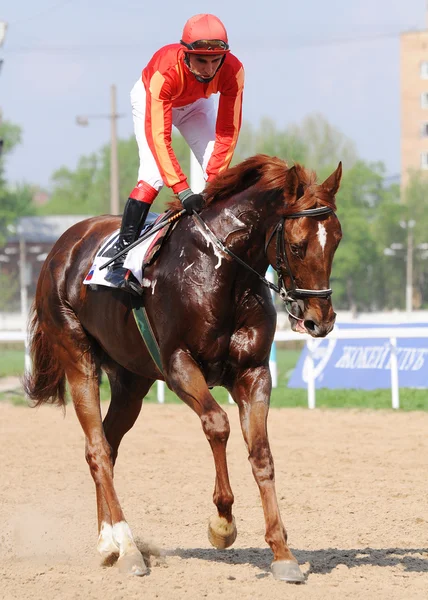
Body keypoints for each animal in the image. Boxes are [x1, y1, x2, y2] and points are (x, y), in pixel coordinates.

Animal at [25, 154, 342, 580]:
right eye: (297, 244)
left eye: (336, 240)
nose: (319, 320)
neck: (223, 271)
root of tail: (64, 244)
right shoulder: (178, 365)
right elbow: (218, 425)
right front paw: (222, 523)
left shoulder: (254, 372)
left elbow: (261, 452)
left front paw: (282, 553)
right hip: (78, 358)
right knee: (96, 449)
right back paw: (127, 547)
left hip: (131, 381)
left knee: (108, 444)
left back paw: (108, 542)